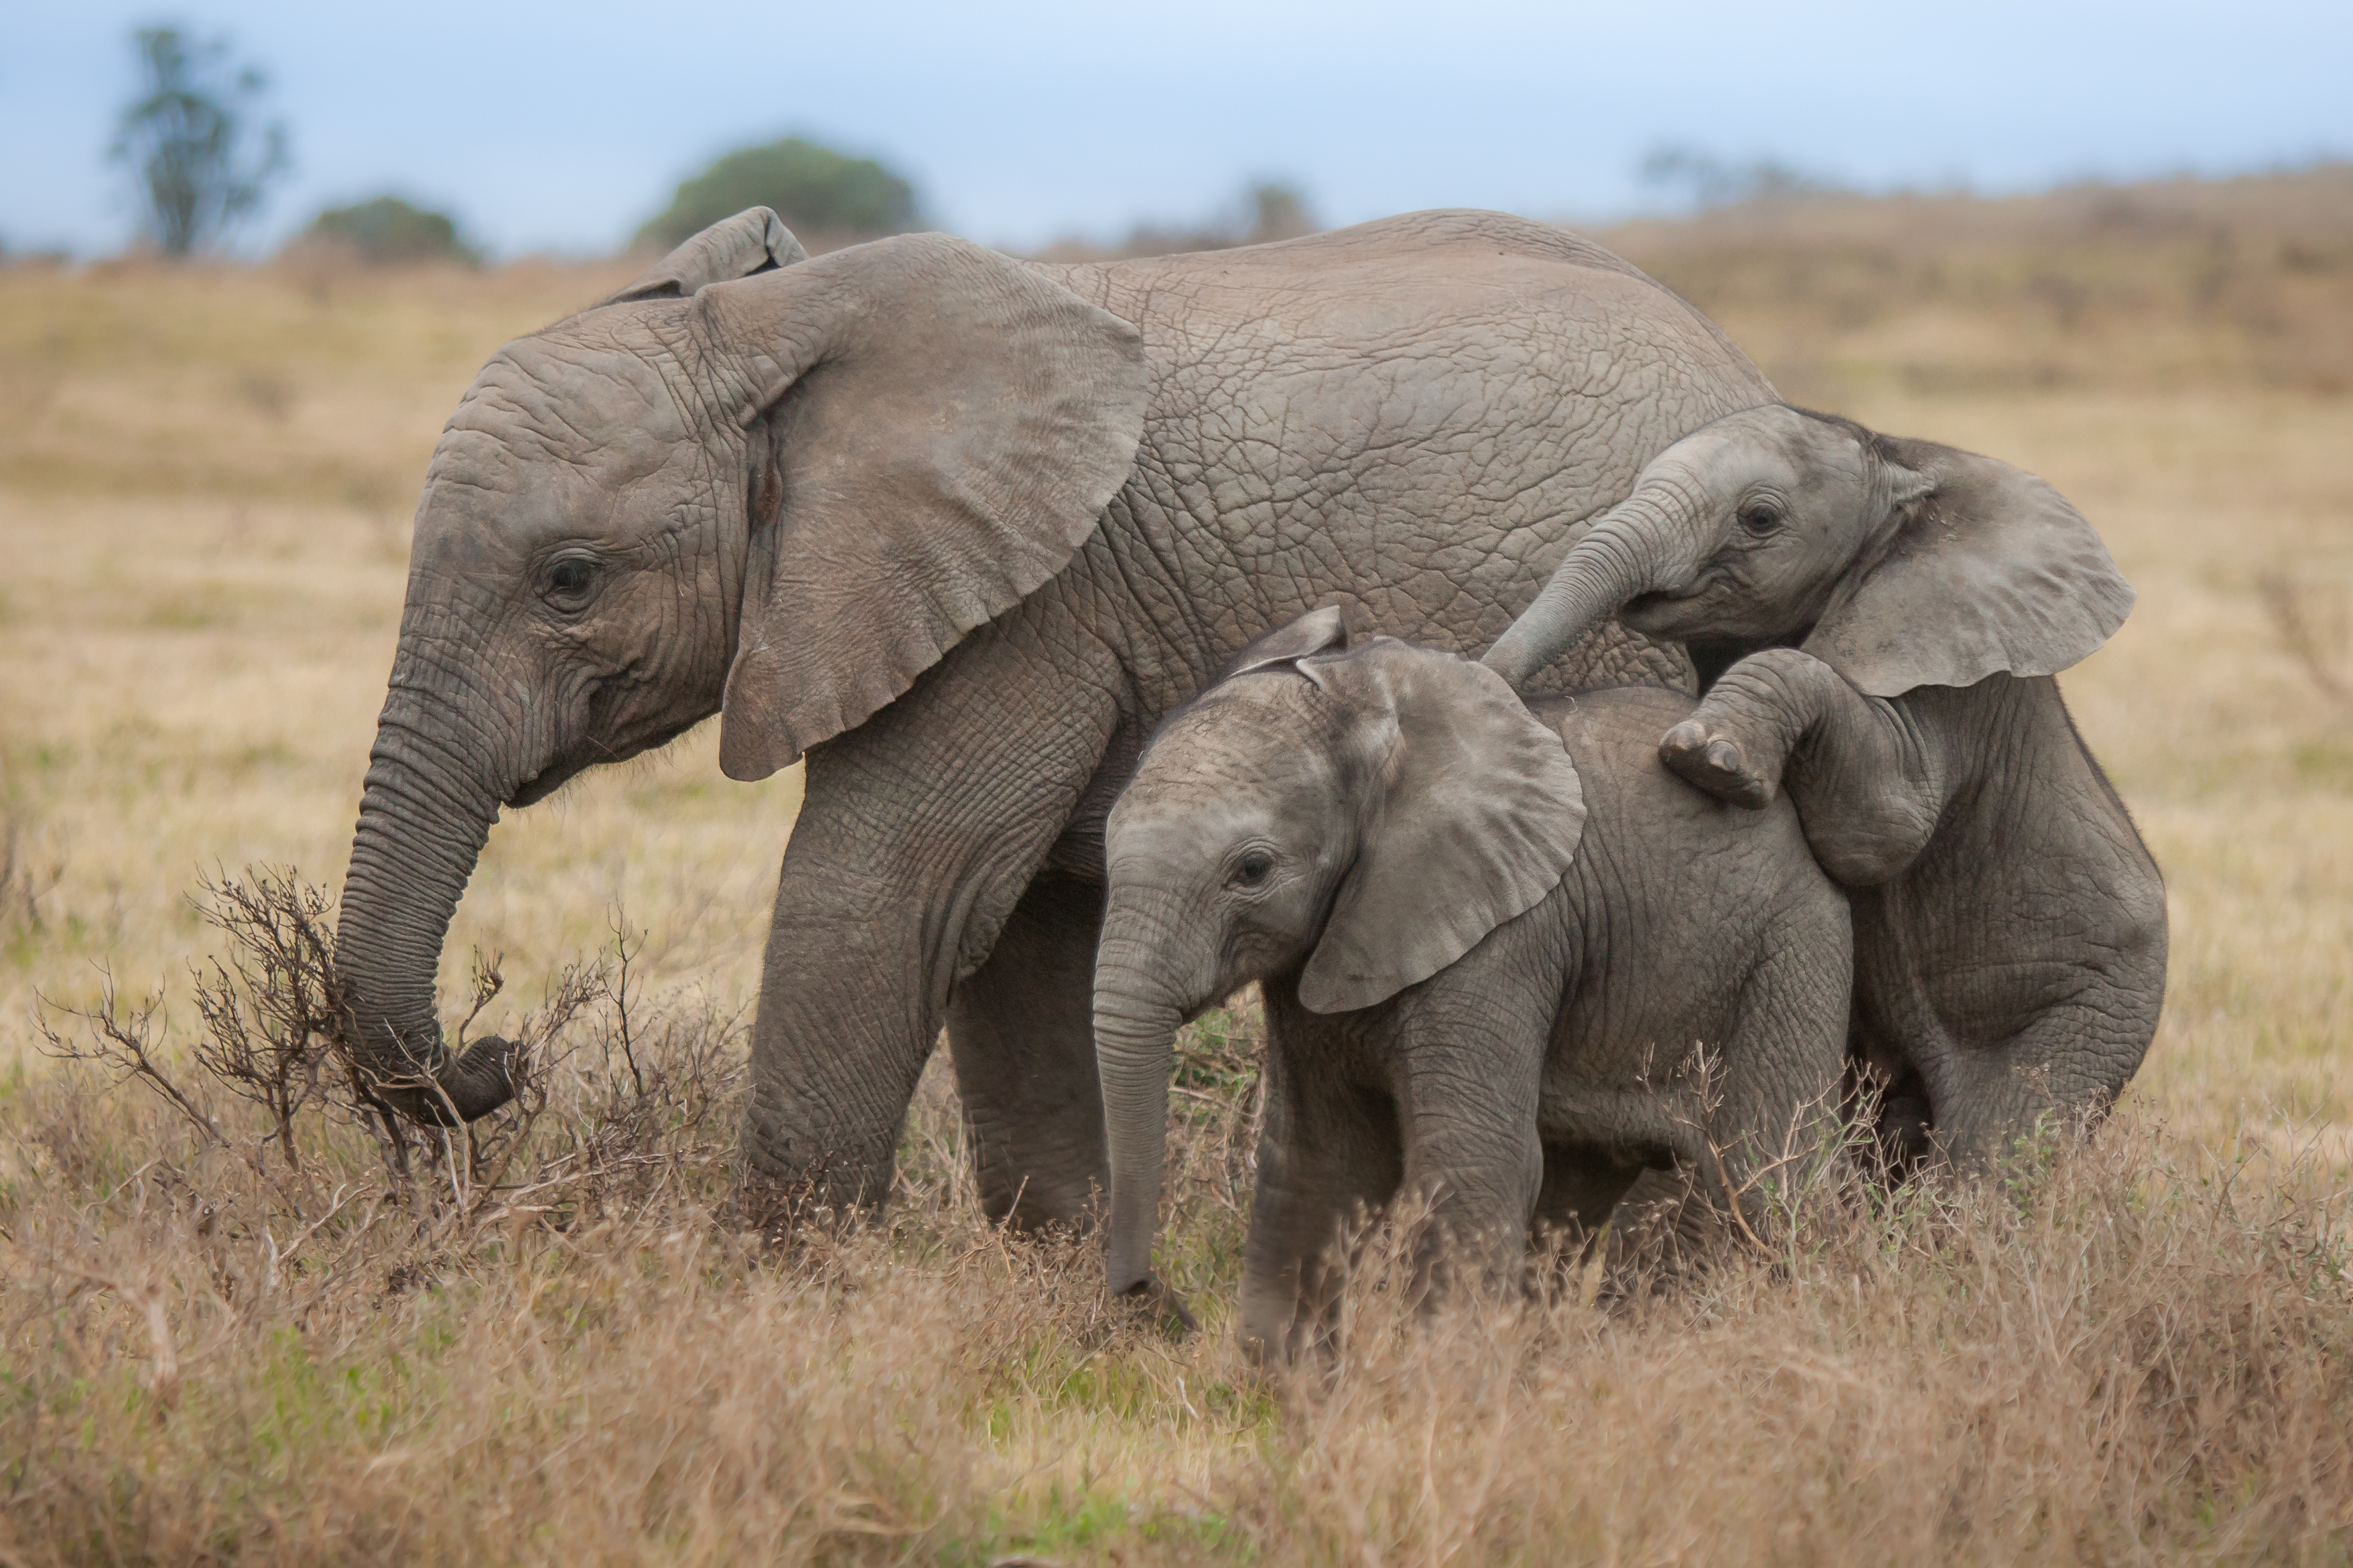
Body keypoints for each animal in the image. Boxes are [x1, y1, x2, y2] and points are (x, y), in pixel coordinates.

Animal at [332, 202, 1786, 1226]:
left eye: (570, 580)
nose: (500, 1055)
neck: (773, 326)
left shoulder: (1026, 607)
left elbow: (888, 896)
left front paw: (770, 1304)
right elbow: (1015, 937)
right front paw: (1093, 1296)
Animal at [1093, 611, 1853, 1358]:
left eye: (1251, 870)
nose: (1155, 1299)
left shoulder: (1502, 940)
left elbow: (1473, 1160)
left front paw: (1442, 1388)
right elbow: (1319, 1160)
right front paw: (1287, 1385)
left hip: (1791, 955)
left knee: (1756, 1176)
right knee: (1575, 1189)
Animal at [1481, 403, 2168, 1168]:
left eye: (1758, 517)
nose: (1487, 676)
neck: (1899, 464)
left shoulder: (1944, 669)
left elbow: (1883, 827)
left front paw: (1707, 758)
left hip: (2089, 1011)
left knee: (1991, 1147)